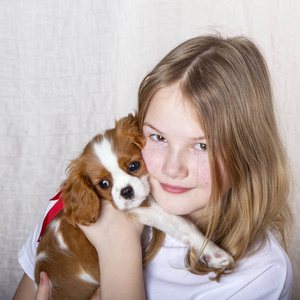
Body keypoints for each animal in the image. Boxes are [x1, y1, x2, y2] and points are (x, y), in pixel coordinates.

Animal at [34, 113, 233, 298]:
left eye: (134, 165)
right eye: (104, 184)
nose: (126, 191)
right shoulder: (143, 210)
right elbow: (181, 223)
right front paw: (216, 253)